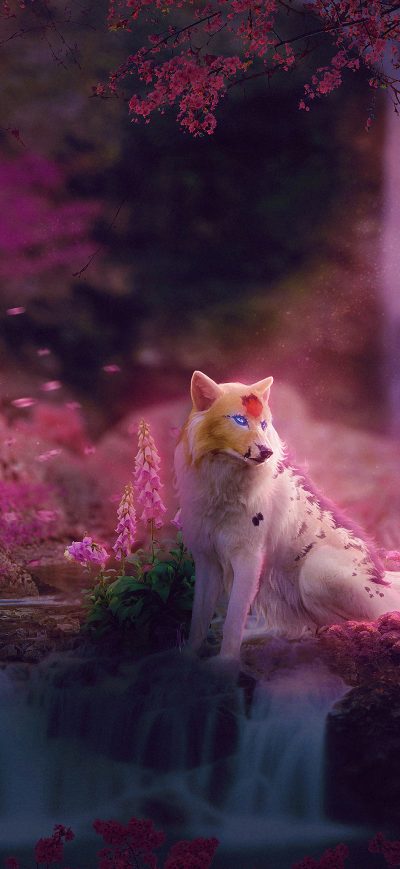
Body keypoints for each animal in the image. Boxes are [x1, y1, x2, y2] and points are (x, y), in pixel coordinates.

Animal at [174, 370, 400, 662]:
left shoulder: (248, 558)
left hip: (315, 572)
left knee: (331, 625)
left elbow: (233, 619)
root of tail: (382, 575)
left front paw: (224, 664)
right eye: (239, 420)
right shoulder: (206, 559)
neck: (220, 486)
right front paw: (188, 659)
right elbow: (199, 620)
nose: (266, 452)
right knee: (297, 628)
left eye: (264, 424)